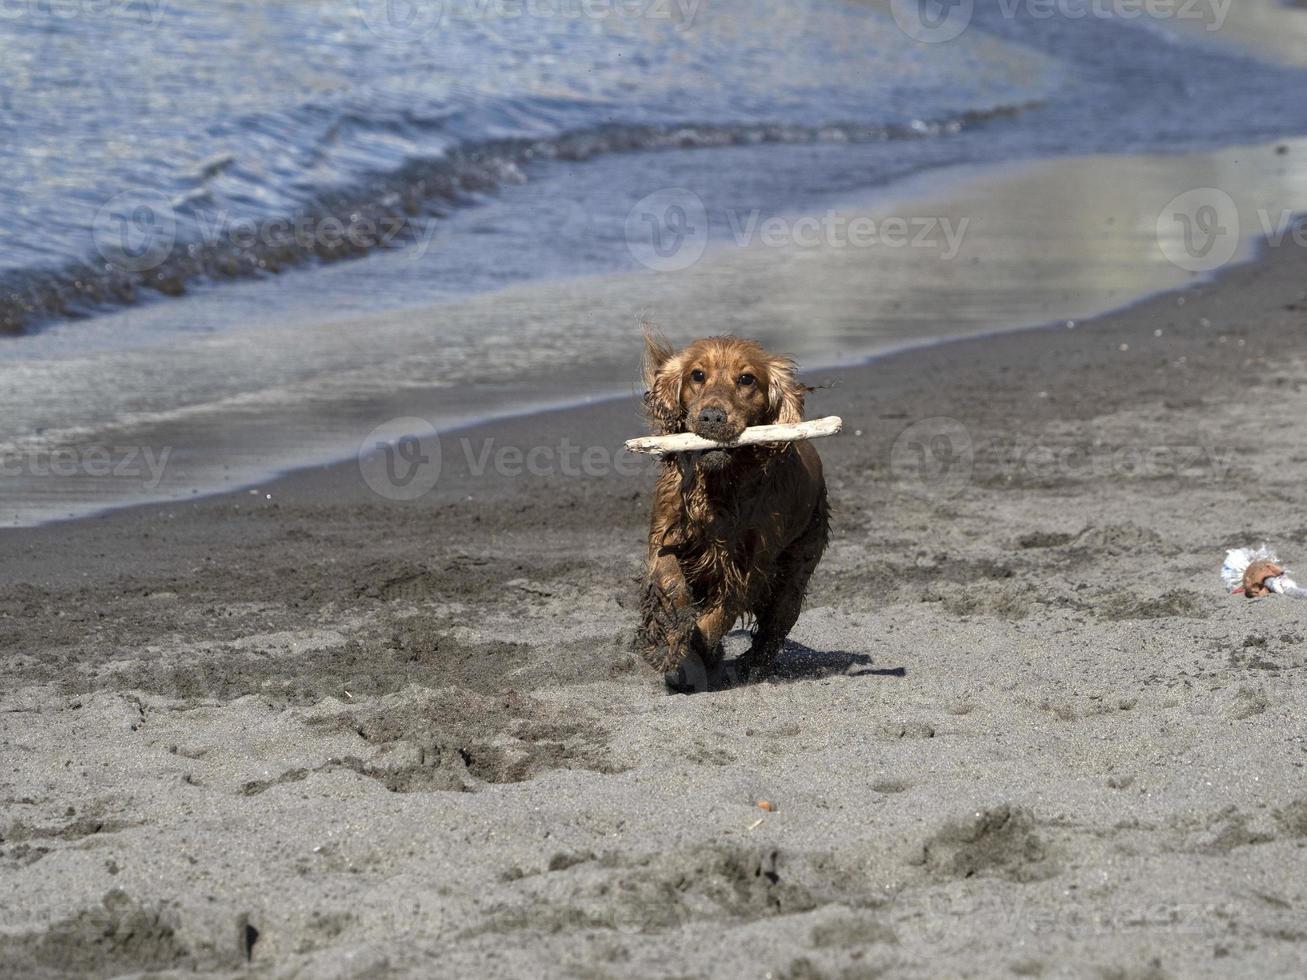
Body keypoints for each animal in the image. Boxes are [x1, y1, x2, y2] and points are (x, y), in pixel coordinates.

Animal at [637, 334, 831, 695]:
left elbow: (722, 613)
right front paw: (675, 635)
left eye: (746, 379)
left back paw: (749, 666)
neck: (720, 487)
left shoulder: (750, 564)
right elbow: (671, 582)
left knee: (777, 623)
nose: (712, 417)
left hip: (797, 568)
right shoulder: (666, 535)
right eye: (697, 375)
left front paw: (701, 649)